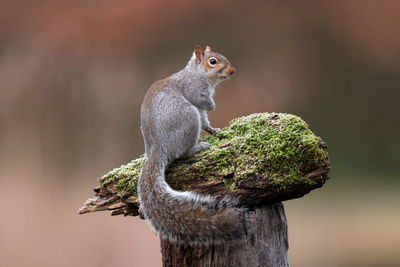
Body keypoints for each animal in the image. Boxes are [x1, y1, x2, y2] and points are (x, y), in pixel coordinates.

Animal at [138, 44, 245, 247]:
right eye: (213, 61)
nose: (233, 70)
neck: (197, 73)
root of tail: (158, 147)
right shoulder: (195, 90)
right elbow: (203, 101)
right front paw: (213, 107)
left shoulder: (201, 112)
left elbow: (206, 122)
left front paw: (214, 130)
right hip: (188, 116)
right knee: (182, 153)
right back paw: (198, 147)